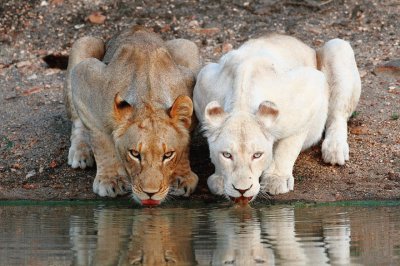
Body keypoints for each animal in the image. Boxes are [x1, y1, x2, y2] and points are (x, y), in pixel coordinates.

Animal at [192, 34, 360, 202]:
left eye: (257, 155)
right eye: (227, 155)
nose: (242, 190)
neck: (242, 102)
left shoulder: (311, 87)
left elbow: (287, 147)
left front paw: (276, 179)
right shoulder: (203, 80)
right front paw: (219, 179)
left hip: (338, 47)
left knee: (338, 114)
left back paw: (335, 149)